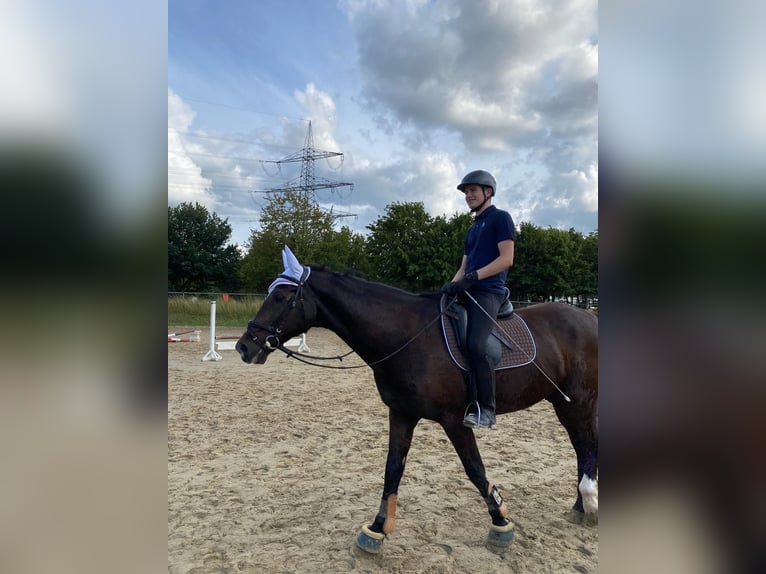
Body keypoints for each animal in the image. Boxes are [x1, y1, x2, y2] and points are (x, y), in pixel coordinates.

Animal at [236, 252, 600, 560]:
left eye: (281, 297)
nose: (244, 347)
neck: (407, 336)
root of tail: (587, 315)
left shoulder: (455, 420)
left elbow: (475, 469)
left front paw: (501, 523)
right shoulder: (402, 413)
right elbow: (392, 469)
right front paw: (376, 530)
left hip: (578, 402)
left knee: (587, 445)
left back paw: (588, 503)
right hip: (562, 401)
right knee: (582, 447)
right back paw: (581, 506)